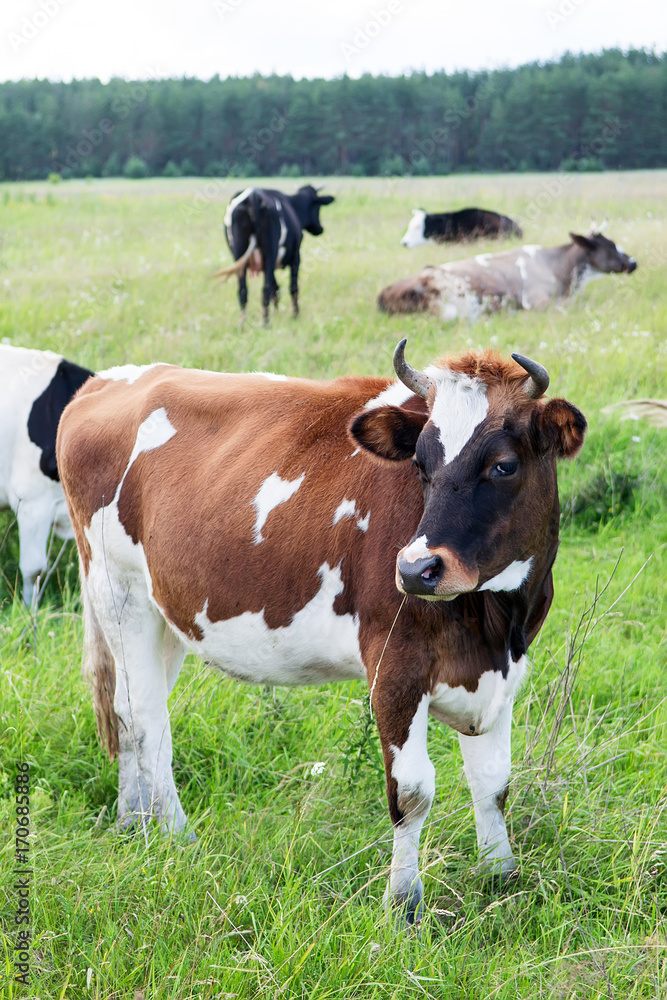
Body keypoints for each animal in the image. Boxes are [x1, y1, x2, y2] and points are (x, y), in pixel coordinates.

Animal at [58, 346, 588, 920]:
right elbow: (413, 792)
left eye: (504, 465)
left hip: (165, 614)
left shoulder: (501, 671)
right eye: (420, 466)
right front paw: (404, 904)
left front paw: (499, 876)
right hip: (118, 589)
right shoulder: (395, 668)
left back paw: (133, 824)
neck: (493, 620)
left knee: (127, 708)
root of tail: (108, 381)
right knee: (146, 718)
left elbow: (494, 782)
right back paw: (179, 837)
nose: (416, 569)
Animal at [217, 181, 336, 320]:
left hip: (239, 253)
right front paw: (295, 315)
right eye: (318, 207)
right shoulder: (296, 256)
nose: (320, 229)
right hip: (270, 252)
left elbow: (276, 288)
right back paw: (265, 323)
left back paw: (243, 323)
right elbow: (293, 287)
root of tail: (253, 195)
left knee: (243, 291)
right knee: (266, 289)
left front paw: (277, 314)